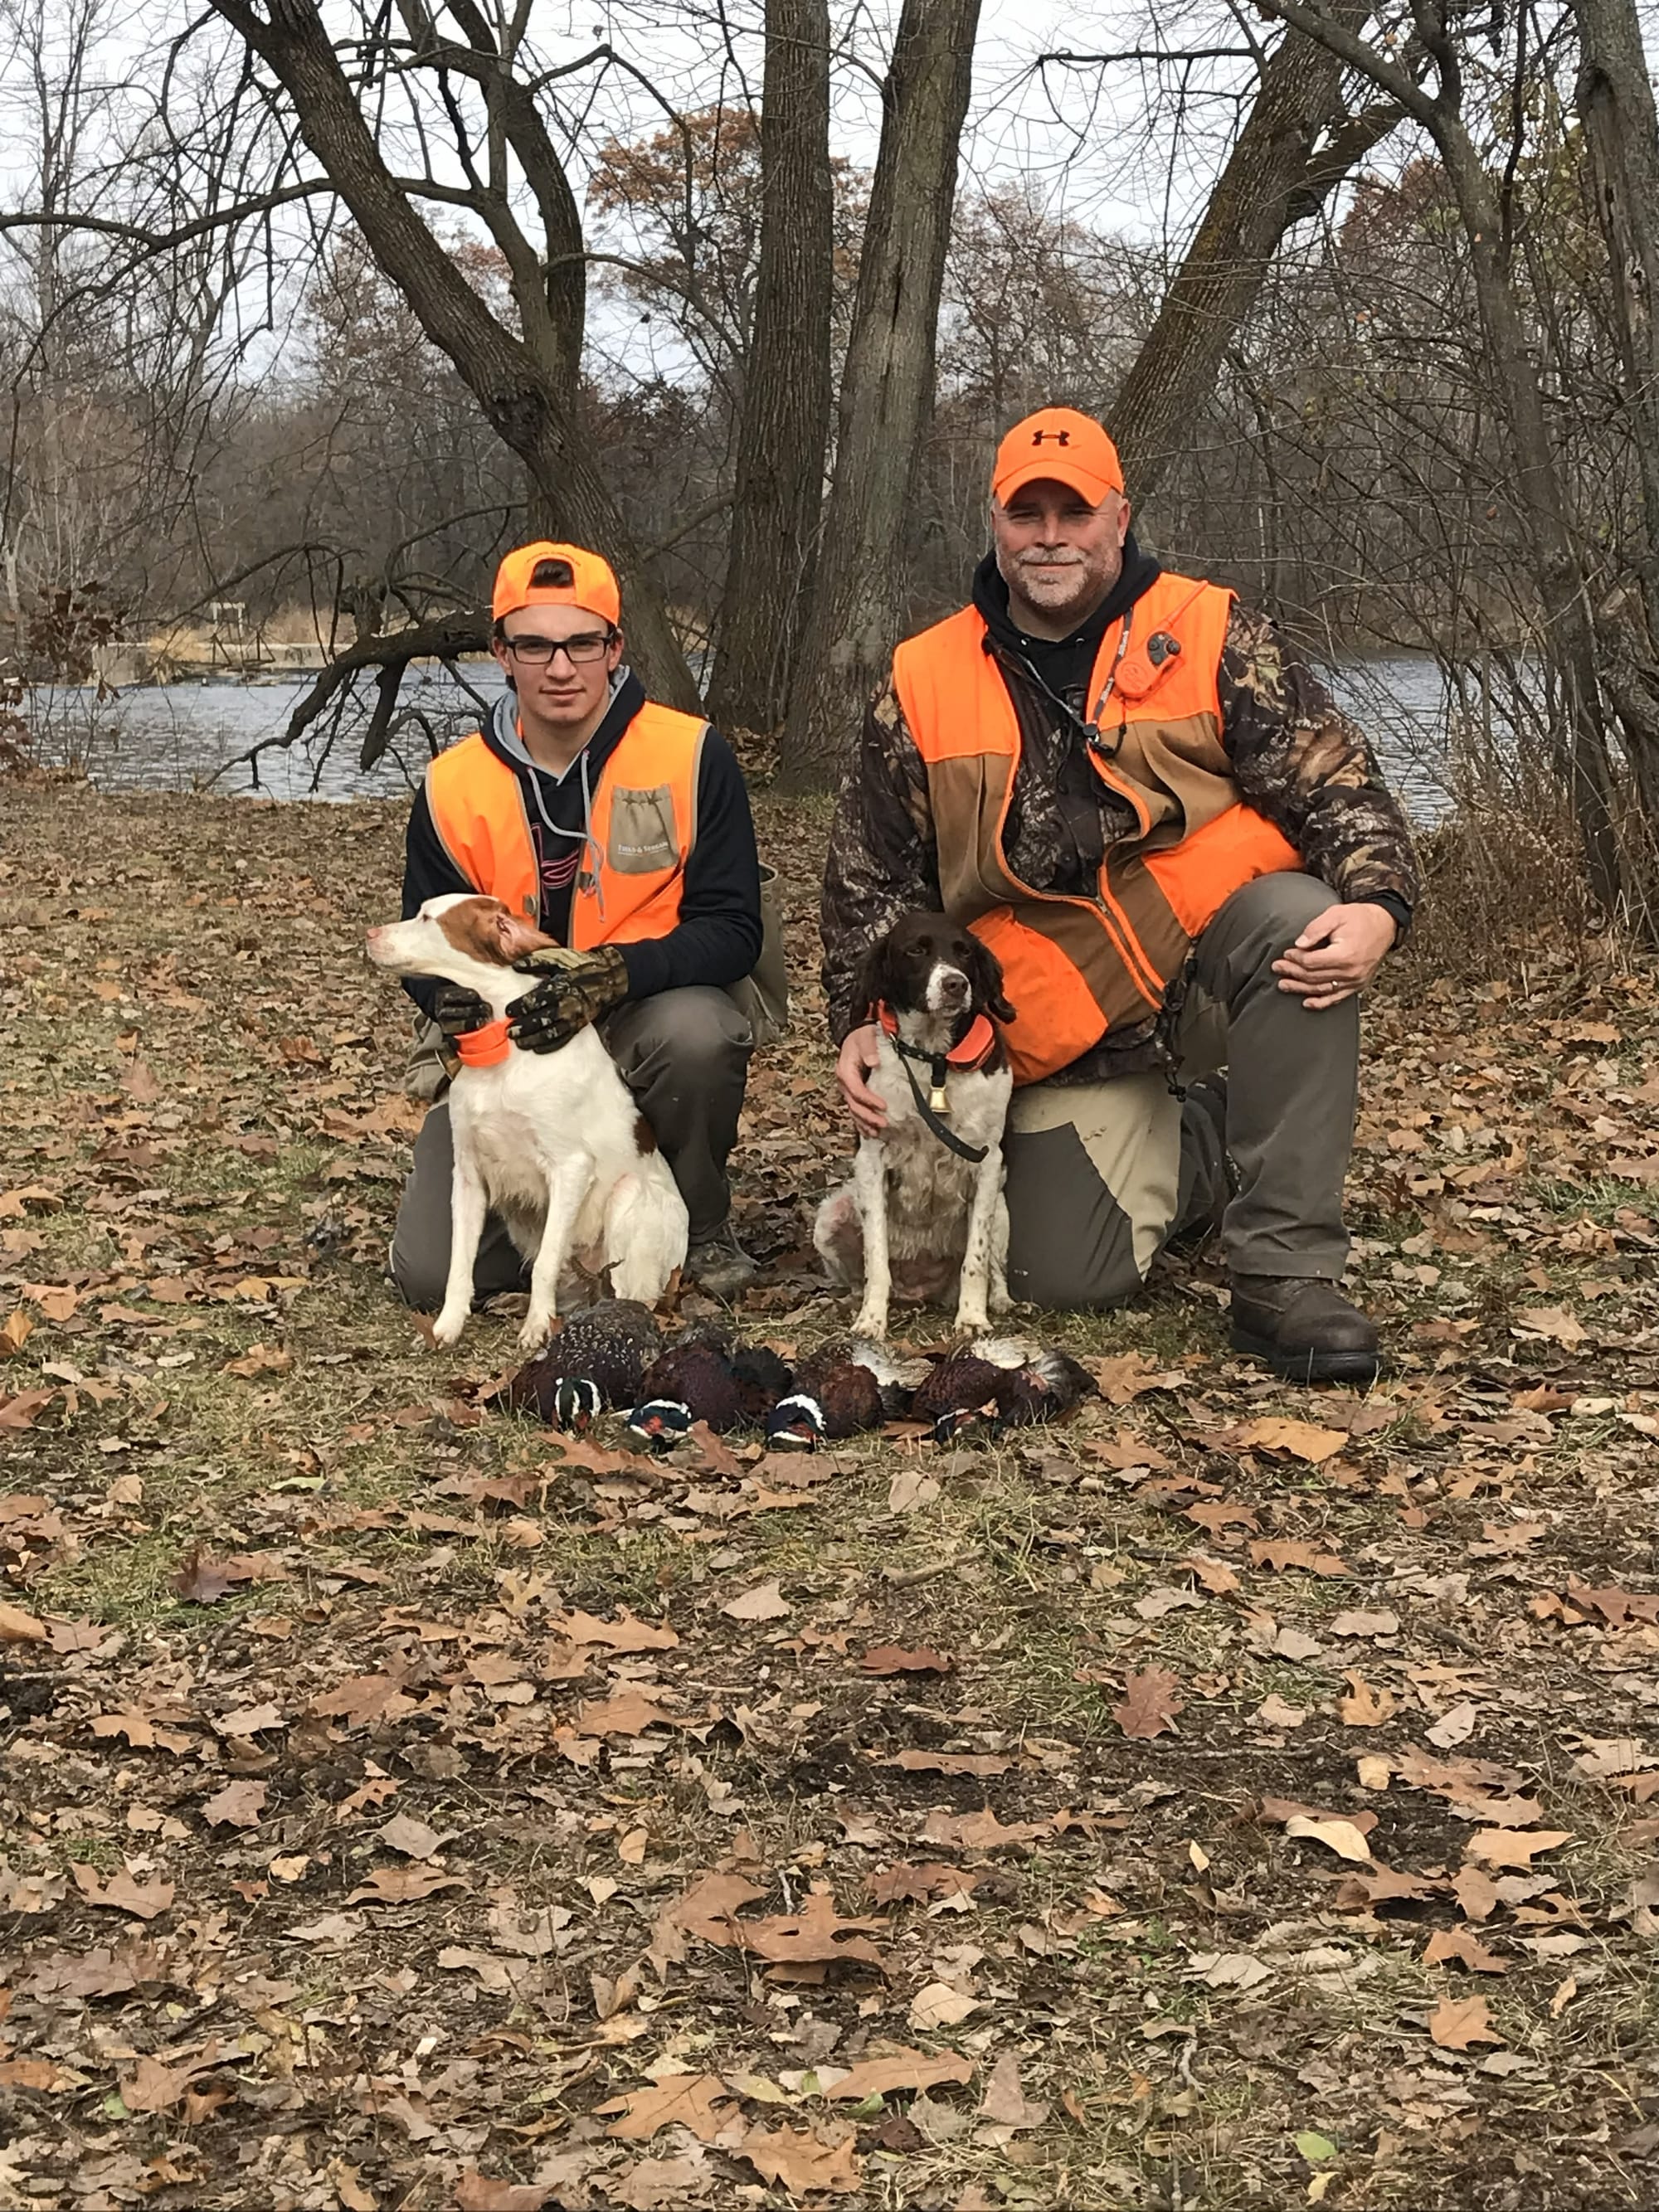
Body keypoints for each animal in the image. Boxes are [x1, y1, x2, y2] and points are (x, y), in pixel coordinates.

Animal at [366, 894, 687, 1351]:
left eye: (428, 918)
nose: (370, 934)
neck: (500, 1045)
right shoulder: (468, 1176)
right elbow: (458, 1265)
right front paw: (448, 1325)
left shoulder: (570, 1169)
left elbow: (546, 1265)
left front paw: (537, 1327)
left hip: (628, 1204)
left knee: (626, 1297)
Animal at [814, 912, 1015, 1341]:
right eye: (916, 950)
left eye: (965, 952)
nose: (956, 983)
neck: (933, 1059)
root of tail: (920, 1292)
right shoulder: (872, 1160)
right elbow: (875, 1259)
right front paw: (871, 1321)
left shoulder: (988, 1162)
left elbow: (976, 1259)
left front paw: (973, 1318)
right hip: (832, 1215)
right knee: (857, 1277)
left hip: (1003, 1210)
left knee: (994, 1266)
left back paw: (1003, 1301)